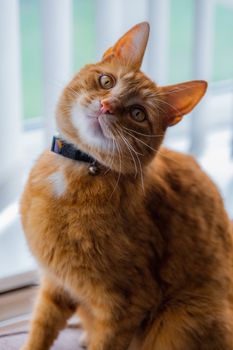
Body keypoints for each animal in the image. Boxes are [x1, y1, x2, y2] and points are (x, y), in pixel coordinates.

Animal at [20, 22, 233, 350]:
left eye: (137, 114)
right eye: (106, 81)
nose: (106, 106)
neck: (79, 168)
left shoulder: (124, 306)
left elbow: (105, 342)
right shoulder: (56, 284)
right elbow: (40, 331)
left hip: (183, 317)